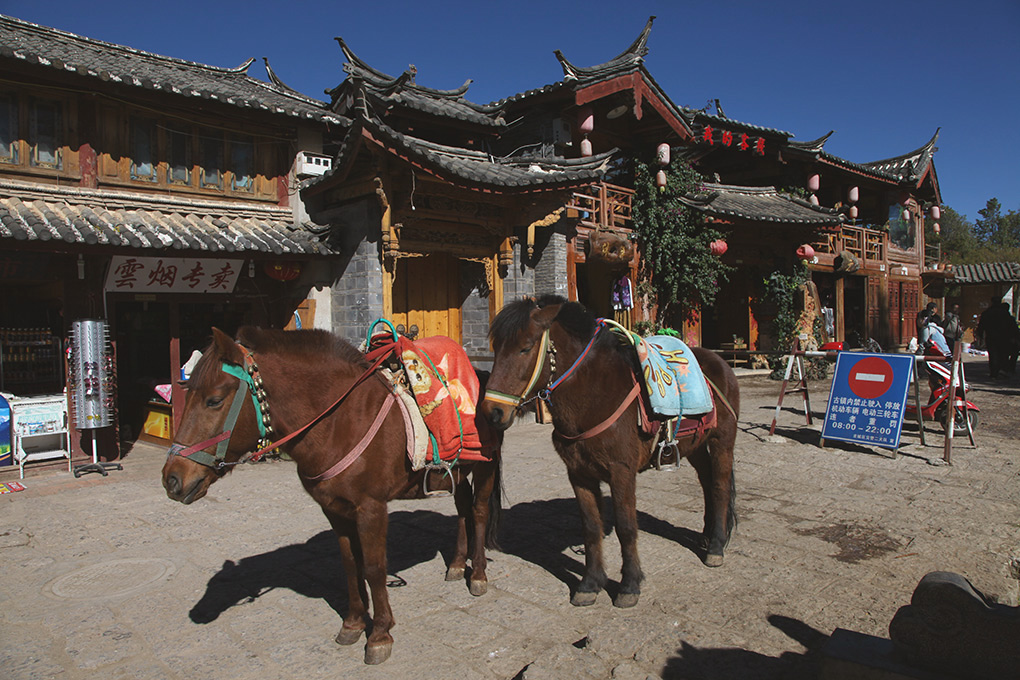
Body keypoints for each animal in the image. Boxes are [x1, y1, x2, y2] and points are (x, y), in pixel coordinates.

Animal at [160, 326, 505, 660]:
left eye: (214, 400)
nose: (172, 479)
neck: (339, 421)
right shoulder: (334, 509)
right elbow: (351, 565)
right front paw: (353, 623)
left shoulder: (371, 508)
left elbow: (374, 568)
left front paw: (380, 634)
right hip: (456, 472)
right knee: (462, 507)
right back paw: (457, 564)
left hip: (485, 466)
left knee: (478, 511)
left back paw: (477, 574)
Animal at [481, 295, 738, 607]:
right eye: (496, 349)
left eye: (525, 347)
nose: (493, 412)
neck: (594, 395)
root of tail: (719, 362)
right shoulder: (579, 475)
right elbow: (591, 528)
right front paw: (590, 583)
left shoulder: (621, 471)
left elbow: (627, 527)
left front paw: (629, 585)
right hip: (696, 446)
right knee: (707, 484)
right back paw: (707, 536)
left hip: (723, 441)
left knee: (720, 487)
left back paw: (715, 547)